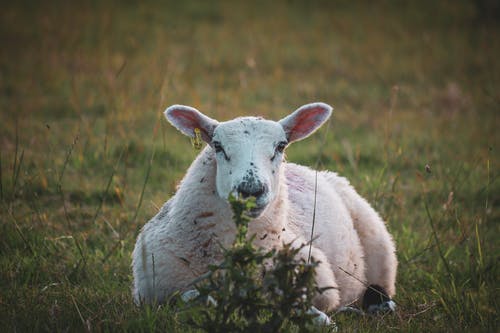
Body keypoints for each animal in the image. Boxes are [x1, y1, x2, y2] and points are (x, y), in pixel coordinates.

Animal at [133, 100, 398, 316]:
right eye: (217, 146)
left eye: (281, 146)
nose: (251, 190)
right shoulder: (152, 292)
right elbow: (192, 297)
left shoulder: (318, 280)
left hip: (380, 247)